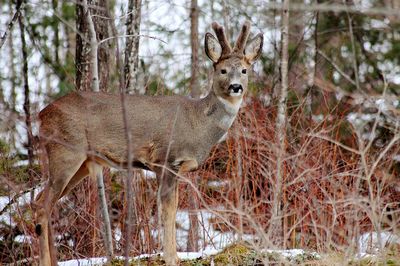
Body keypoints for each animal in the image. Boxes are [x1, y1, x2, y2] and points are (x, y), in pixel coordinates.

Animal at [33, 21, 262, 266]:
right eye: (222, 70)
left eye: (244, 70)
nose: (236, 86)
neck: (198, 122)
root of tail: (41, 114)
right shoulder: (166, 159)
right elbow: (167, 210)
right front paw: (171, 258)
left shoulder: (174, 167)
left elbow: (171, 207)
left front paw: (173, 255)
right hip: (65, 152)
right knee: (42, 206)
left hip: (81, 163)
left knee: (43, 201)